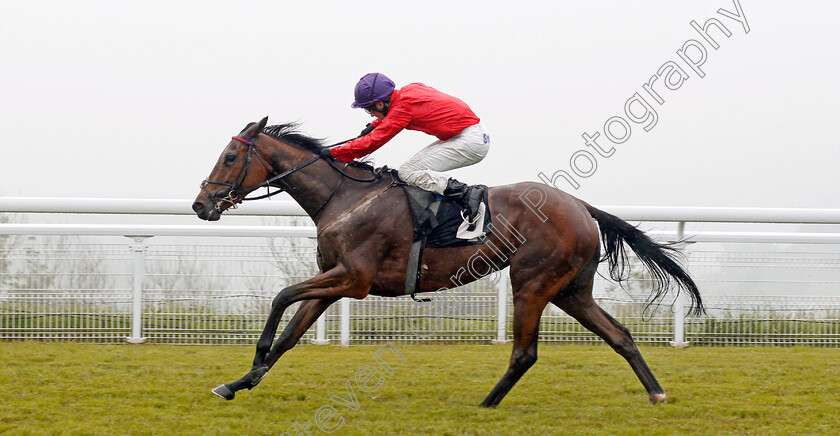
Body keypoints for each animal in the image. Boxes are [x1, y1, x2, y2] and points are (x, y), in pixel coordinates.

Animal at [192, 117, 704, 408]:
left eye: (230, 156)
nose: (200, 205)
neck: (343, 196)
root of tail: (580, 205)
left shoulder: (352, 280)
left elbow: (280, 298)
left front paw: (254, 360)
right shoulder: (332, 280)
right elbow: (290, 336)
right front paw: (239, 382)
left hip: (532, 282)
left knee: (525, 352)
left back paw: (486, 403)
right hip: (570, 290)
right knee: (620, 335)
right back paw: (656, 392)